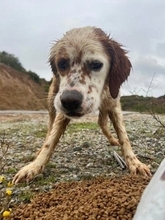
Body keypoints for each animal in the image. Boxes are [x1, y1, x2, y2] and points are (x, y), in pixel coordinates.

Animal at [12, 26, 151, 184]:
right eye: (62, 64)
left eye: (96, 65)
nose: (69, 101)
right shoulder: (61, 110)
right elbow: (50, 140)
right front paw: (34, 166)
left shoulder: (114, 105)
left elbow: (124, 137)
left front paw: (134, 162)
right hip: (52, 100)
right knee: (50, 126)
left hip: (105, 106)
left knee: (102, 122)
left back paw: (112, 140)